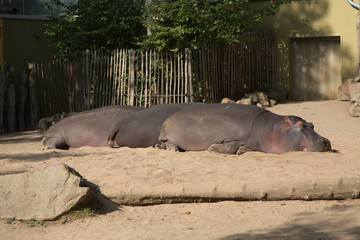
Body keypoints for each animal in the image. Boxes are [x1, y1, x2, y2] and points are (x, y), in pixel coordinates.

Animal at [158, 104, 332, 155]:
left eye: (312, 124)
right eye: (301, 125)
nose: (325, 140)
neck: (273, 128)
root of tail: (167, 120)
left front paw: (242, 150)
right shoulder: (234, 137)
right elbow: (229, 146)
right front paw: (212, 147)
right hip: (170, 136)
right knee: (169, 143)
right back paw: (173, 150)